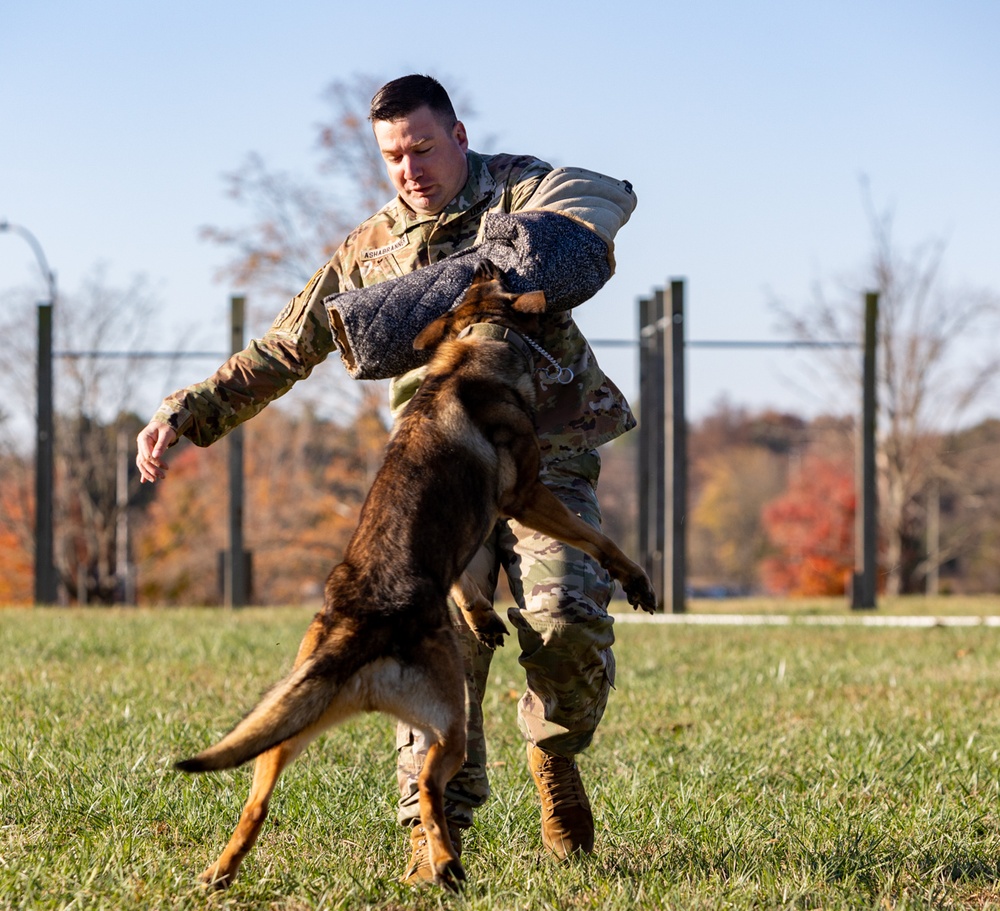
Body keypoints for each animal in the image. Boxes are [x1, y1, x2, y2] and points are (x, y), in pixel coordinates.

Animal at [174, 258, 656, 892]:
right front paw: (635, 577)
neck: (471, 346)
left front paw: (481, 616)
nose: (485, 258)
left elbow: (467, 583)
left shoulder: (479, 527)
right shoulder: (527, 497)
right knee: (429, 785)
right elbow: (598, 539)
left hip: (294, 731)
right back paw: (446, 865)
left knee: (258, 801)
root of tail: (361, 637)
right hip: (450, 721)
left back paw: (221, 872)